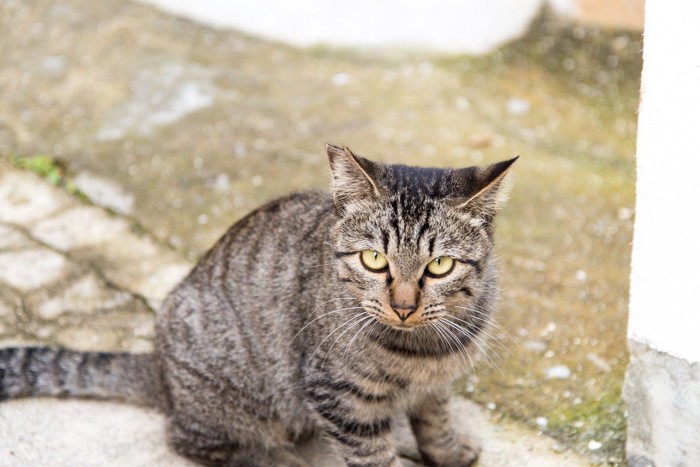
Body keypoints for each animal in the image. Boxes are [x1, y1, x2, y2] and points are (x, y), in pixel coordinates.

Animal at [0, 144, 516, 466]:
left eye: (440, 266)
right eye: (373, 259)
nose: (404, 306)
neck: (423, 351)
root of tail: (161, 374)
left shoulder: (436, 384)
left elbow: (435, 418)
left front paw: (447, 451)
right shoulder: (341, 397)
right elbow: (375, 456)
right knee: (192, 439)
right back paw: (280, 459)